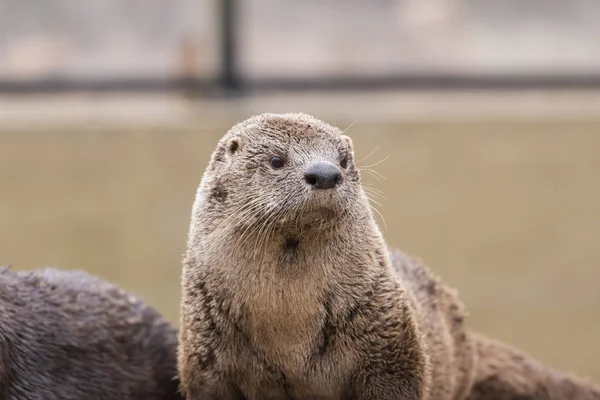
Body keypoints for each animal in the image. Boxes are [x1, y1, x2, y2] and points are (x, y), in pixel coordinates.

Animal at [178, 113, 600, 400]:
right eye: (277, 160)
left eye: (344, 160)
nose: (325, 173)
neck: (287, 328)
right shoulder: (207, 365)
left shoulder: (391, 352)